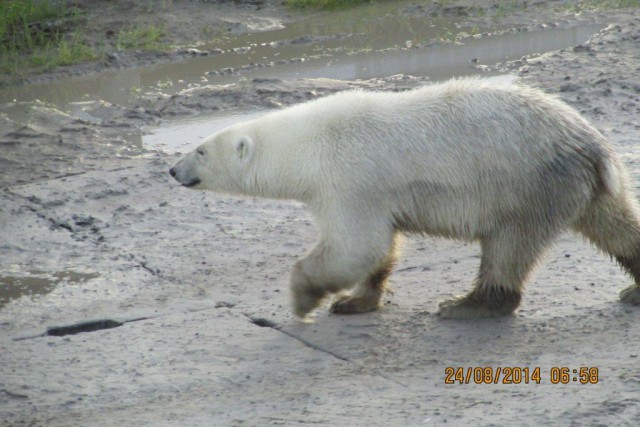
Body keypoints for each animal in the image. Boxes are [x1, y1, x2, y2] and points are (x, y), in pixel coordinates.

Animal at [170, 77, 640, 320]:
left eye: (200, 150)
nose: (173, 170)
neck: (307, 145)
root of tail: (591, 145)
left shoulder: (349, 179)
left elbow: (355, 244)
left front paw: (305, 298)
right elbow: (380, 247)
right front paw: (355, 300)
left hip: (530, 183)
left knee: (509, 243)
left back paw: (466, 304)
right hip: (581, 186)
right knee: (616, 226)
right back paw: (634, 288)